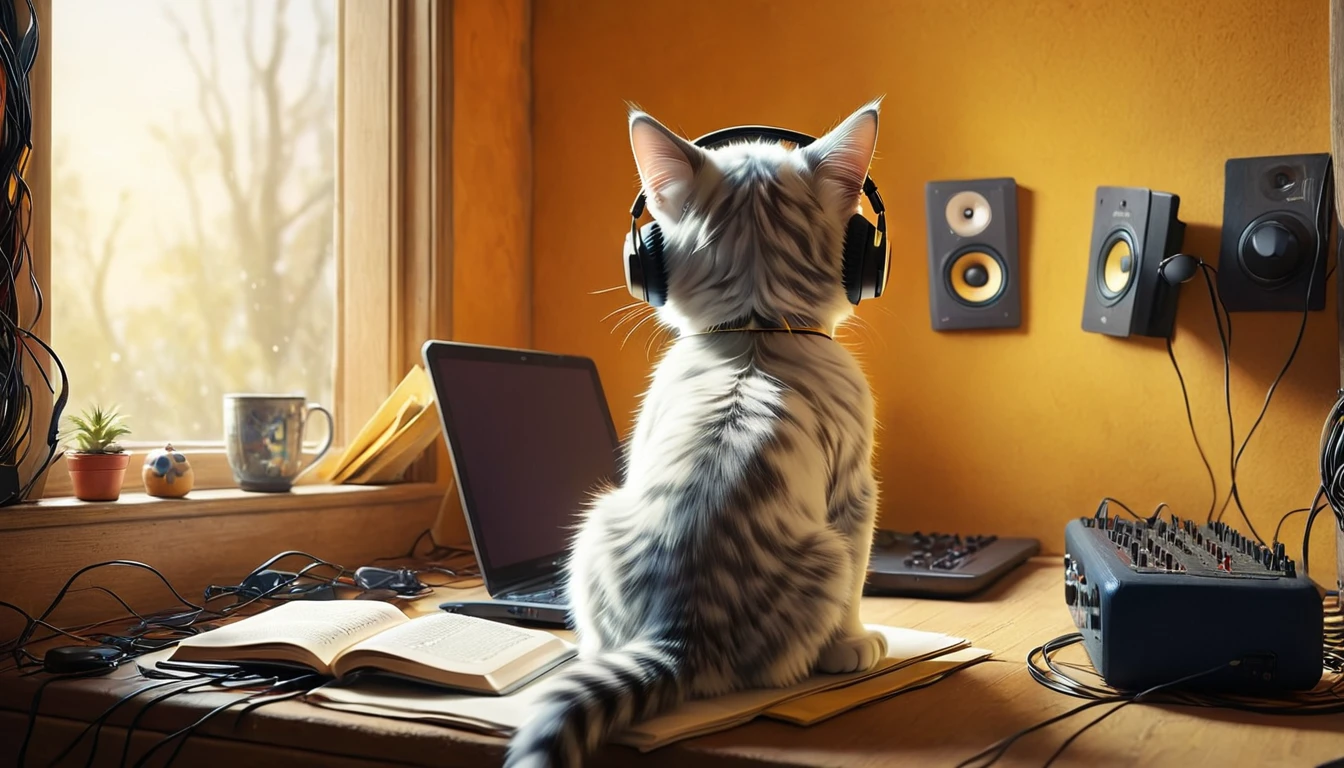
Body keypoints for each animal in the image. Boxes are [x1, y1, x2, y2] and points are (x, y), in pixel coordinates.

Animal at [502, 102, 881, 768]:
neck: (756, 328)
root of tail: (678, 633)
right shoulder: (857, 493)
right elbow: (859, 585)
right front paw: (854, 643)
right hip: (825, 552)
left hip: (598, 523)